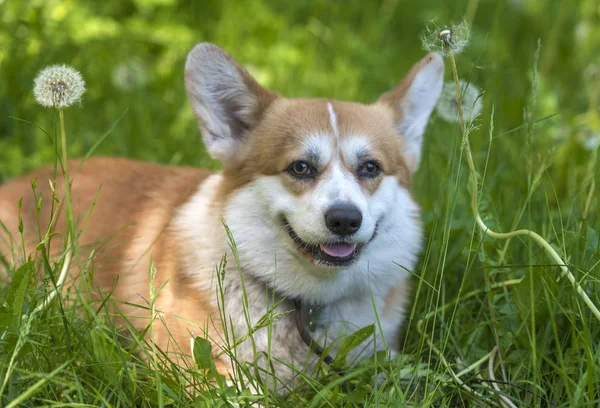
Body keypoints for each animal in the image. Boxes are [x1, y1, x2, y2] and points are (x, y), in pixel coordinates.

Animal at [0, 43, 440, 392]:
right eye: (299, 168)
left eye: (370, 168)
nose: (345, 220)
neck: (306, 304)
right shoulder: (186, 359)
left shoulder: (378, 358)